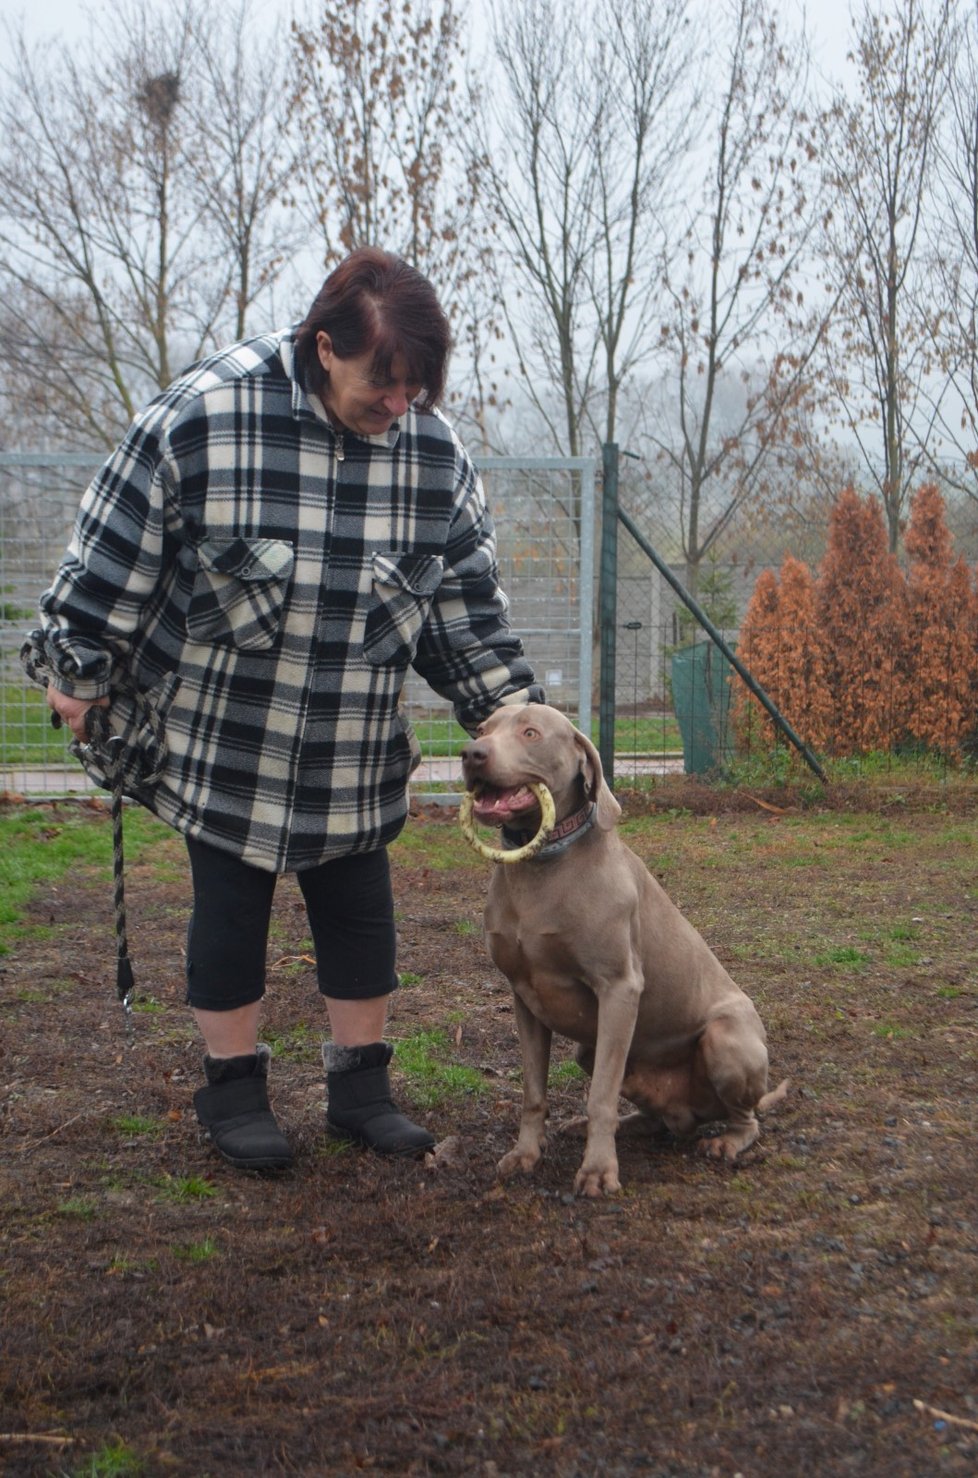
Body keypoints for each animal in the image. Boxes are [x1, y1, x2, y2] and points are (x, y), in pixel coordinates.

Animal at [463, 703, 791, 1200]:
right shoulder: (524, 997)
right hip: (588, 1050)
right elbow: (534, 1092)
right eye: (482, 728)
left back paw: (727, 1142)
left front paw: (599, 1171)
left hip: (726, 1039)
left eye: (531, 732)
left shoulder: (618, 988)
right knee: (659, 1118)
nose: (471, 753)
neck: (541, 865)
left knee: (745, 1118)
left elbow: (601, 1095)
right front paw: (524, 1155)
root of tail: (691, 1112)